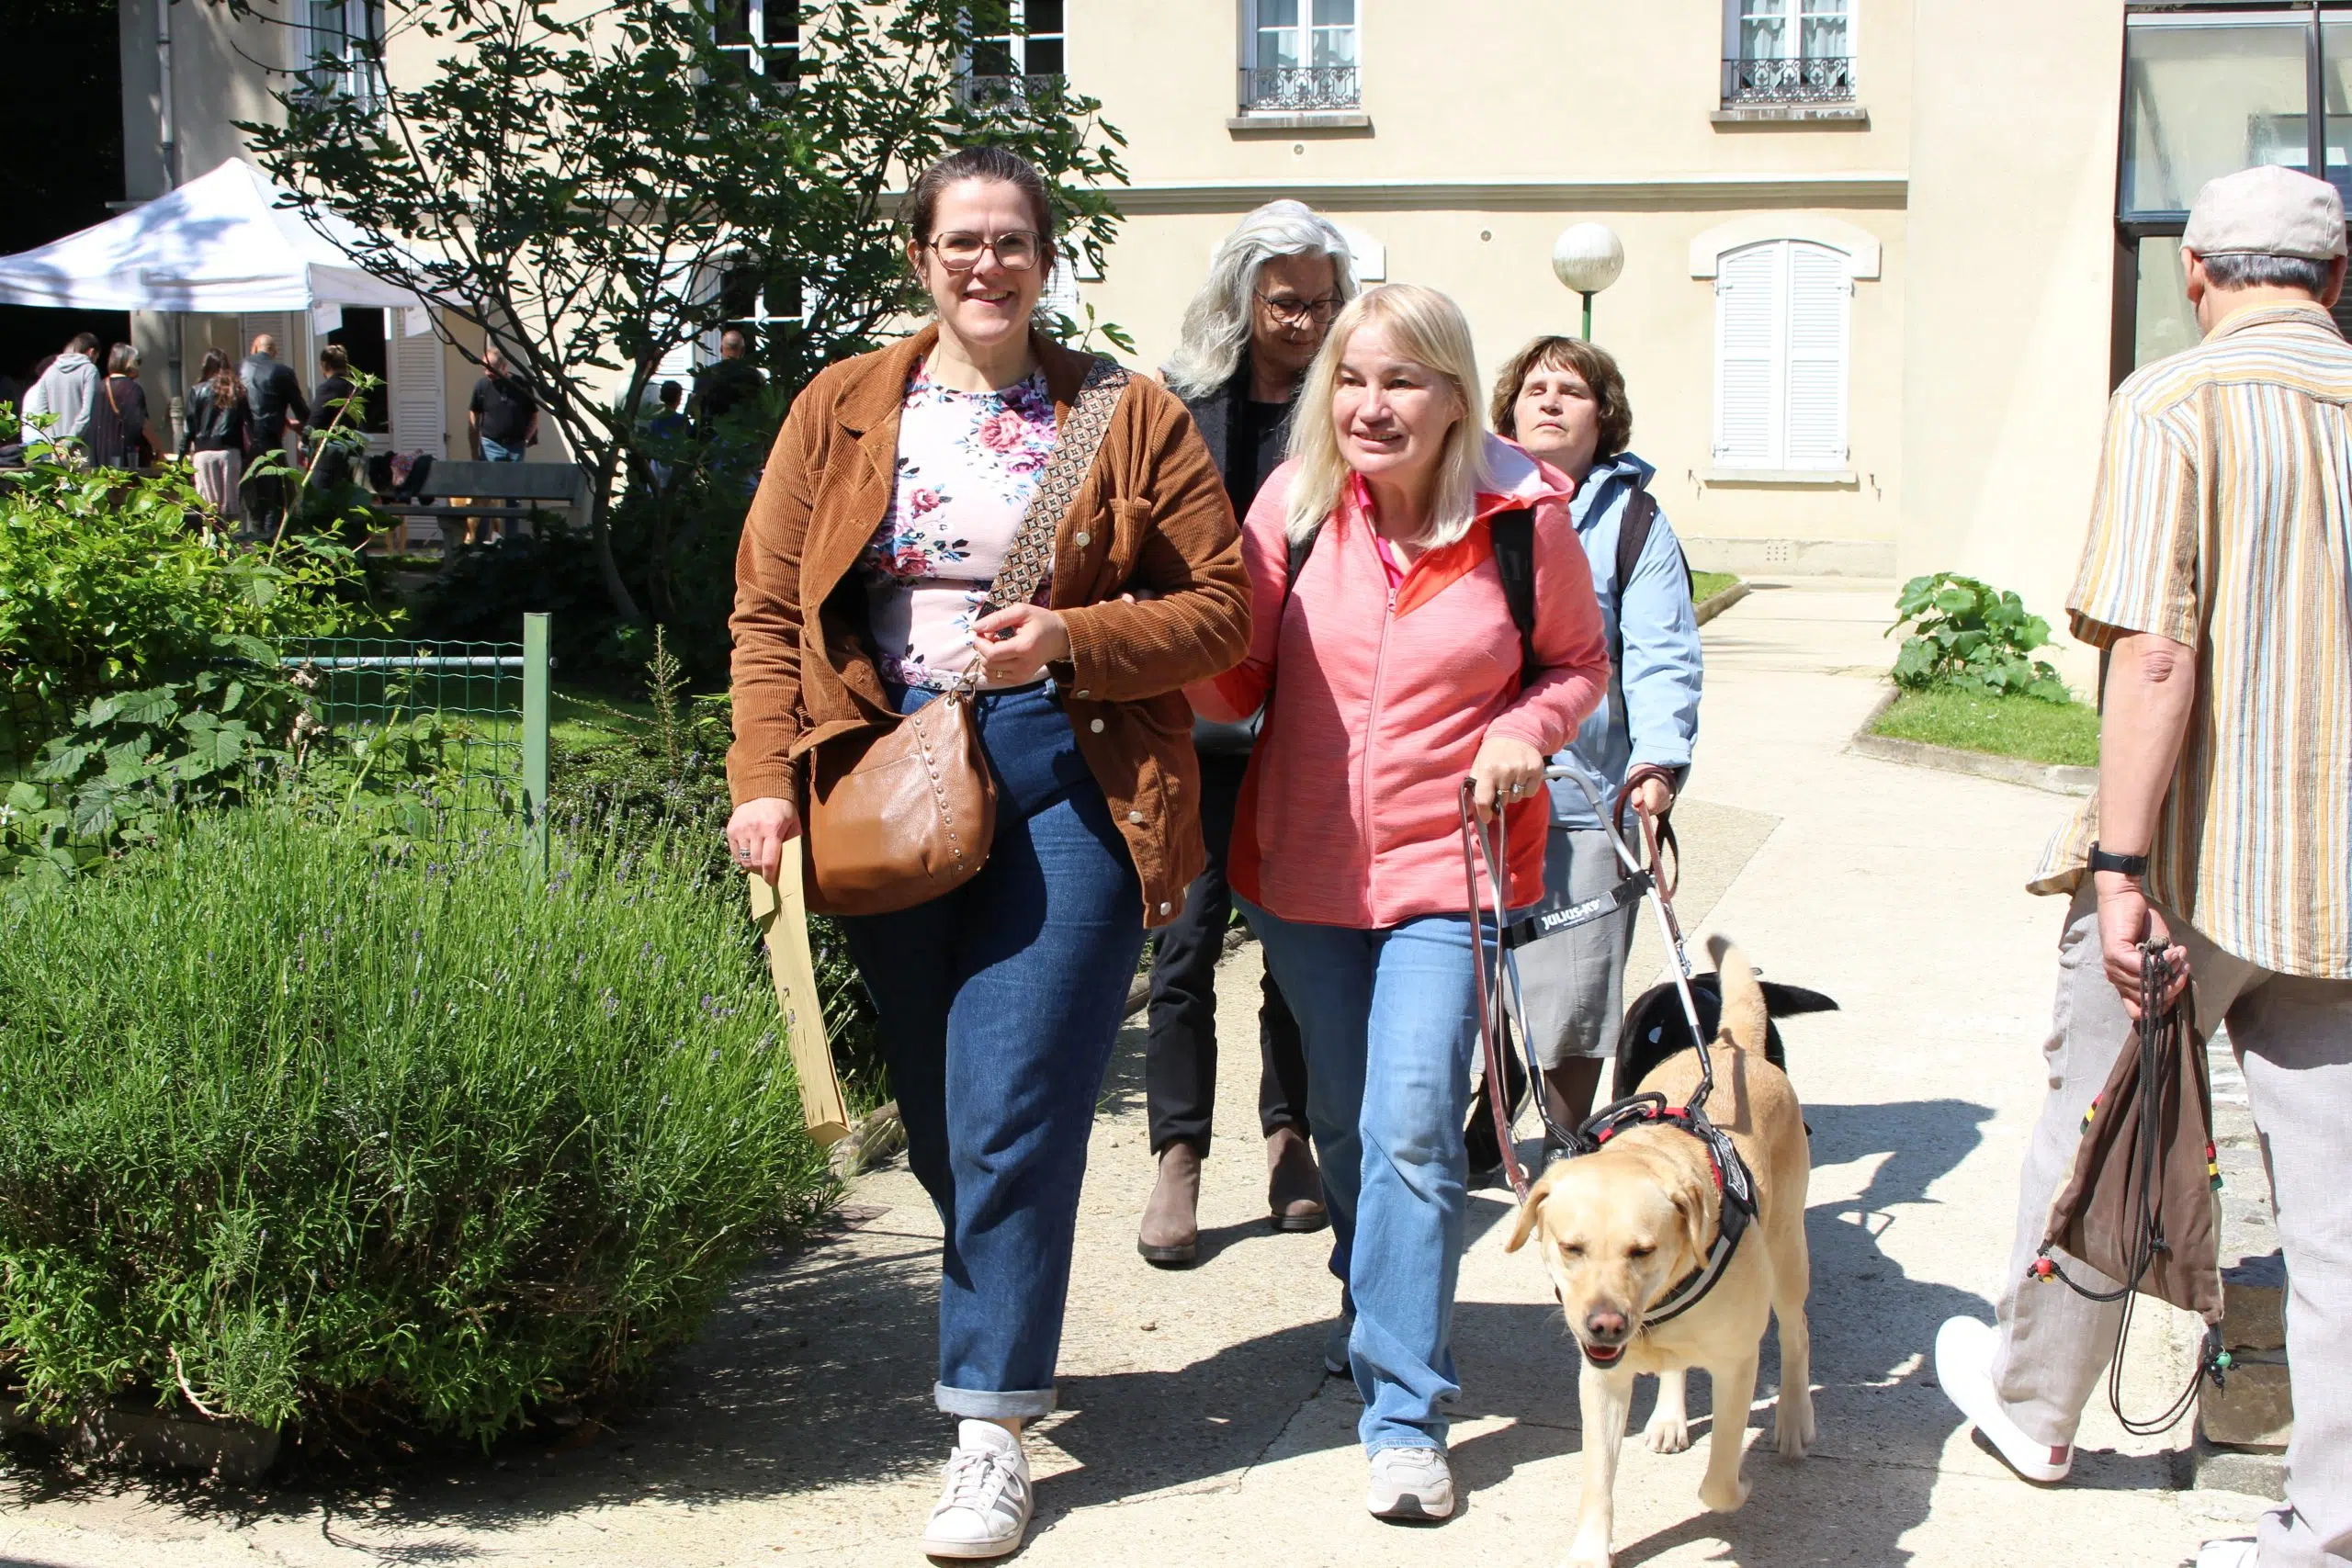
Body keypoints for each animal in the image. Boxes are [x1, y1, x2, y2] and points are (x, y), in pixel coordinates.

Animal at [1505, 940, 1815, 1561]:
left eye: (1642, 1251)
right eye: (1570, 1248)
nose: (1603, 1325)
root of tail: (1732, 1045)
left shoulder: (1737, 1361)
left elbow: (1718, 1482)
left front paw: (1738, 1487)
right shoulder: (1601, 1380)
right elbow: (1597, 1477)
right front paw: (1590, 1550)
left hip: (1788, 1252)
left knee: (1796, 1332)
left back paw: (1794, 1418)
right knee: (1677, 1364)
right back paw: (1670, 1416)